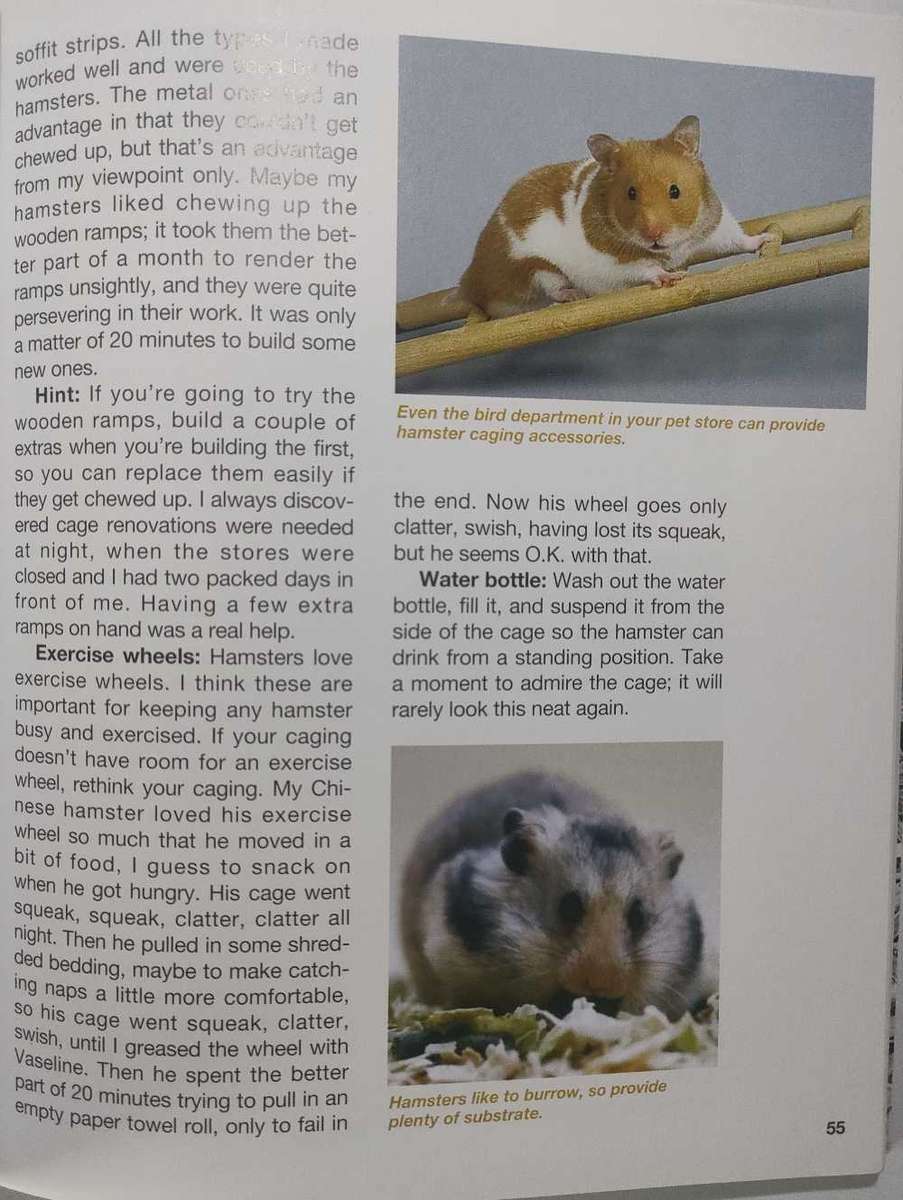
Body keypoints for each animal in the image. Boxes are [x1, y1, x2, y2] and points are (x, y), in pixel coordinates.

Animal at [456, 115, 773, 318]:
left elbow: (737, 239)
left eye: (675, 190)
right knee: (553, 288)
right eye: (630, 193)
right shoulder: (611, 261)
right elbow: (643, 268)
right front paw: (668, 276)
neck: (668, 249)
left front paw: (765, 238)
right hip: (532, 268)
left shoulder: (713, 225)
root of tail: (470, 281)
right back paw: (573, 295)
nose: (654, 236)